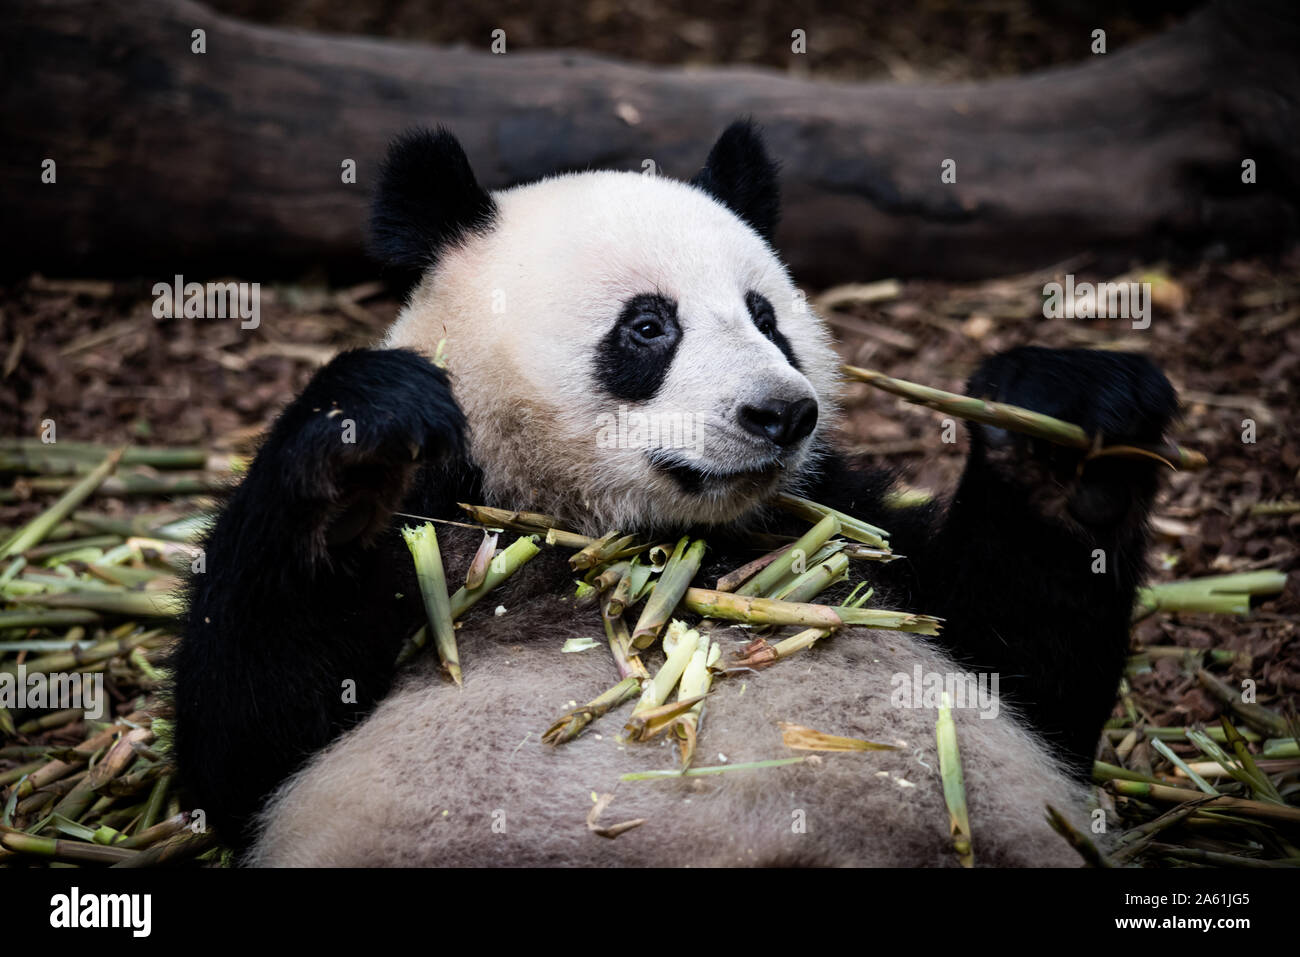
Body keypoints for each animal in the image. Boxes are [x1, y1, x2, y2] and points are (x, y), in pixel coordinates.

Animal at [172, 119, 1180, 868]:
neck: (626, 534)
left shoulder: (845, 531)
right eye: (649, 326)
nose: (782, 413)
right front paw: (358, 448)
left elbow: (1025, 669)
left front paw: (1068, 438)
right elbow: (241, 747)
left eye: (767, 315)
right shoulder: (449, 530)